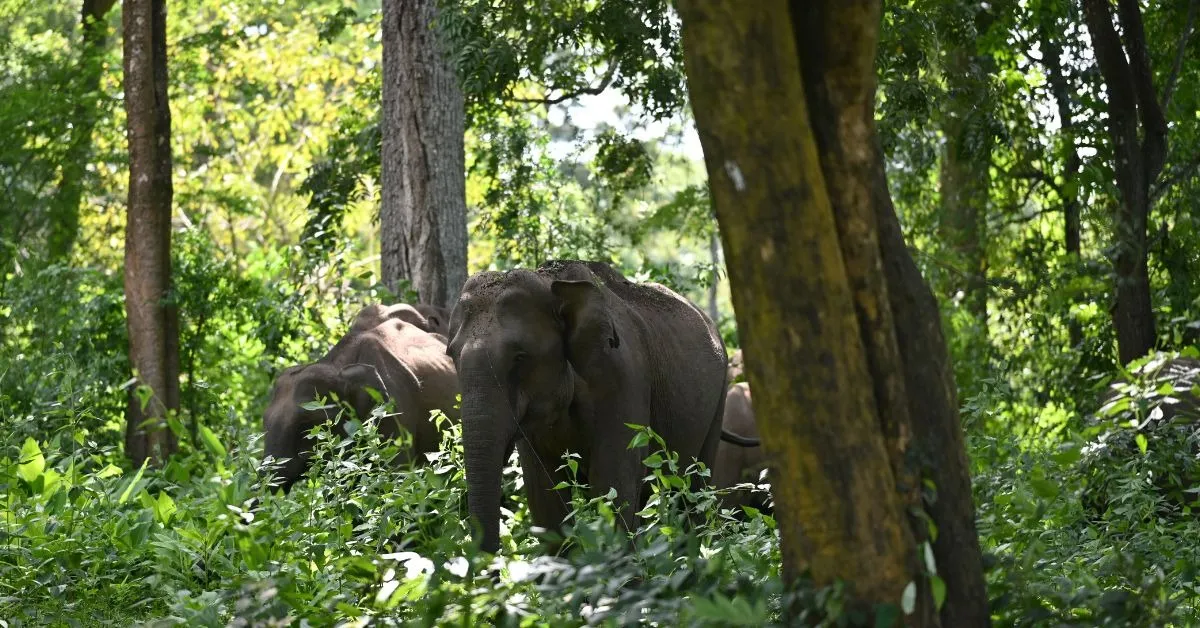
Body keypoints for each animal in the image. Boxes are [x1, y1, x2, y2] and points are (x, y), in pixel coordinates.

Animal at [446, 259, 750, 553]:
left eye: (520, 356)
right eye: (451, 354)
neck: (549, 282)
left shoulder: (622, 380)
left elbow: (612, 486)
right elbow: (545, 500)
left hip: (718, 402)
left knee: (693, 492)